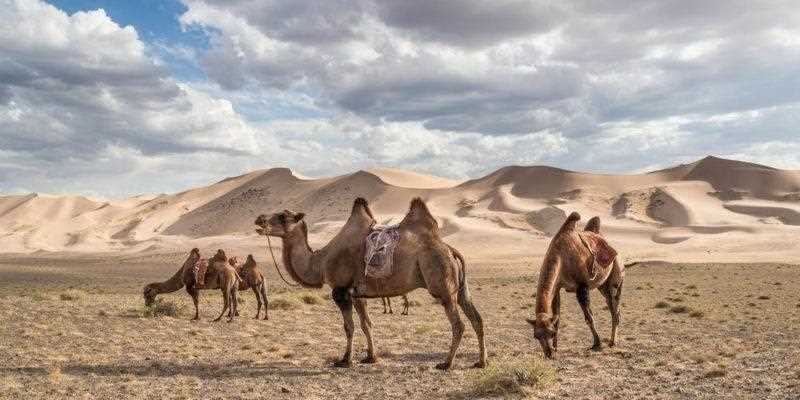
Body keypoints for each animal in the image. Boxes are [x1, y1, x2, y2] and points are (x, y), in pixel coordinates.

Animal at [255, 198, 488, 370]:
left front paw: (344, 360)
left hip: (442, 285)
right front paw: (370, 357)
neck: (320, 262)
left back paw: (446, 364)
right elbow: (366, 324)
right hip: (460, 288)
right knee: (477, 318)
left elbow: (349, 327)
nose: (259, 219)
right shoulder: (358, 294)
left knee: (458, 324)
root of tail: (450, 249)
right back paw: (481, 362)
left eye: (283, 216)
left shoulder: (340, 291)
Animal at [528, 212, 628, 360]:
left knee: (615, 310)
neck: (561, 257)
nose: (548, 354)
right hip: (603, 287)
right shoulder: (557, 287)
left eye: (550, 333)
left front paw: (597, 344)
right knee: (613, 307)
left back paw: (612, 342)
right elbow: (557, 317)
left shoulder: (582, 286)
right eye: (536, 336)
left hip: (616, 278)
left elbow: (589, 317)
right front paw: (556, 348)